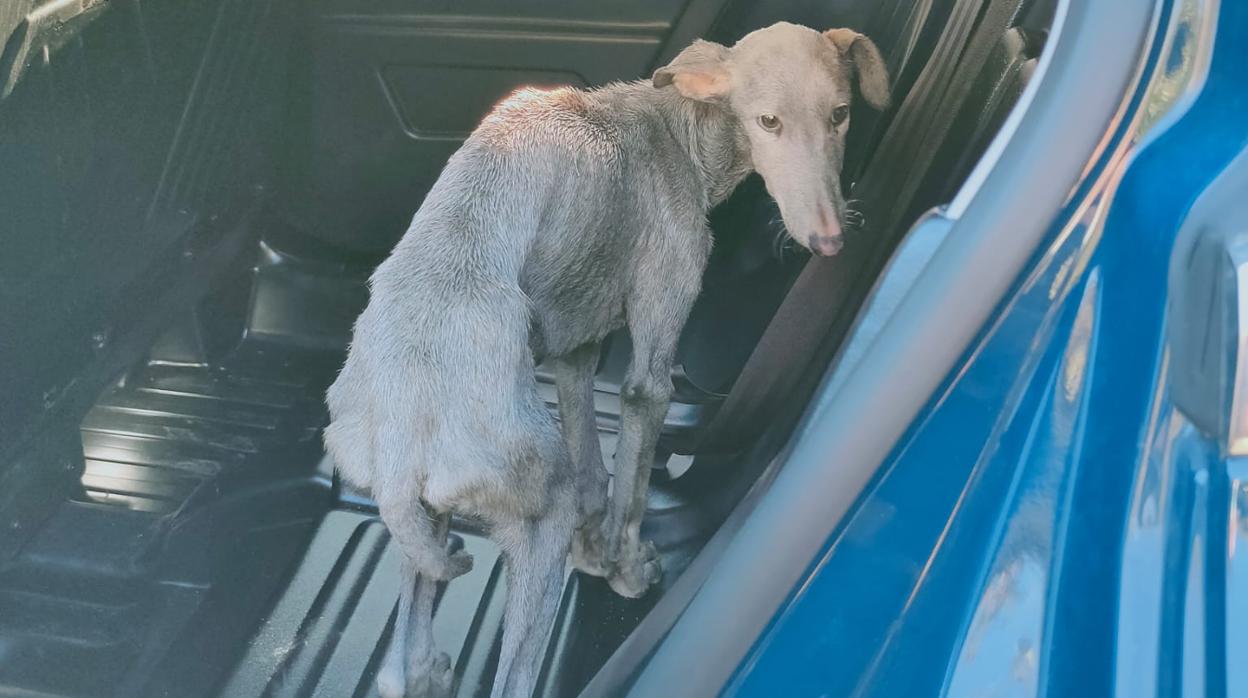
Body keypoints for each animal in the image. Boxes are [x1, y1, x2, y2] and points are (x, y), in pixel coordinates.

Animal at [321, 20, 888, 698]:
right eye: (767, 121)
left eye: (841, 114)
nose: (829, 239)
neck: (675, 127)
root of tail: (400, 453)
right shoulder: (650, 375)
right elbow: (632, 490)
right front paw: (625, 570)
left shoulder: (575, 349)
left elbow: (596, 470)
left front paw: (596, 552)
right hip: (537, 519)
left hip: (428, 523)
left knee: (396, 663)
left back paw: (427, 667)